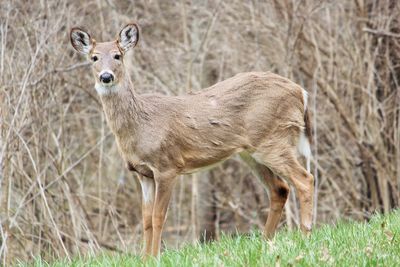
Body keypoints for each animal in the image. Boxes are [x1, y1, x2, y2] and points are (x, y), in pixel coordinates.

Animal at [70, 23, 316, 260]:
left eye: (117, 55)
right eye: (94, 57)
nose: (106, 76)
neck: (141, 125)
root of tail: (301, 92)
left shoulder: (167, 166)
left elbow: (158, 216)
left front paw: (155, 257)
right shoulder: (142, 173)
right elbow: (146, 219)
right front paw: (144, 259)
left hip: (274, 140)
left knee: (305, 179)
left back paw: (304, 237)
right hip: (251, 152)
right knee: (280, 189)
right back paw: (266, 242)